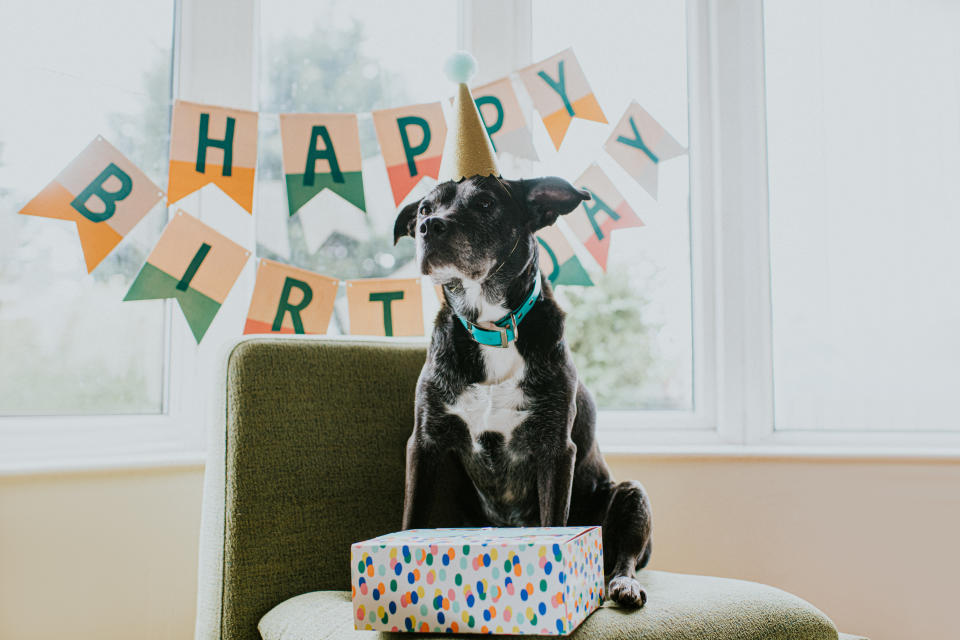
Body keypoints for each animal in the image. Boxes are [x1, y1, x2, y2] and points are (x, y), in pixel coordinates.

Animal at [390, 174, 652, 604]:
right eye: (425, 209)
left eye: (485, 203)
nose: (429, 227)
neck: (491, 327)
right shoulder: (424, 444)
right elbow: (411, 517)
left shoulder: (555, 451)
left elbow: (553, 523)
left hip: (631, 494)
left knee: (625, 552)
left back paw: (624, 583)